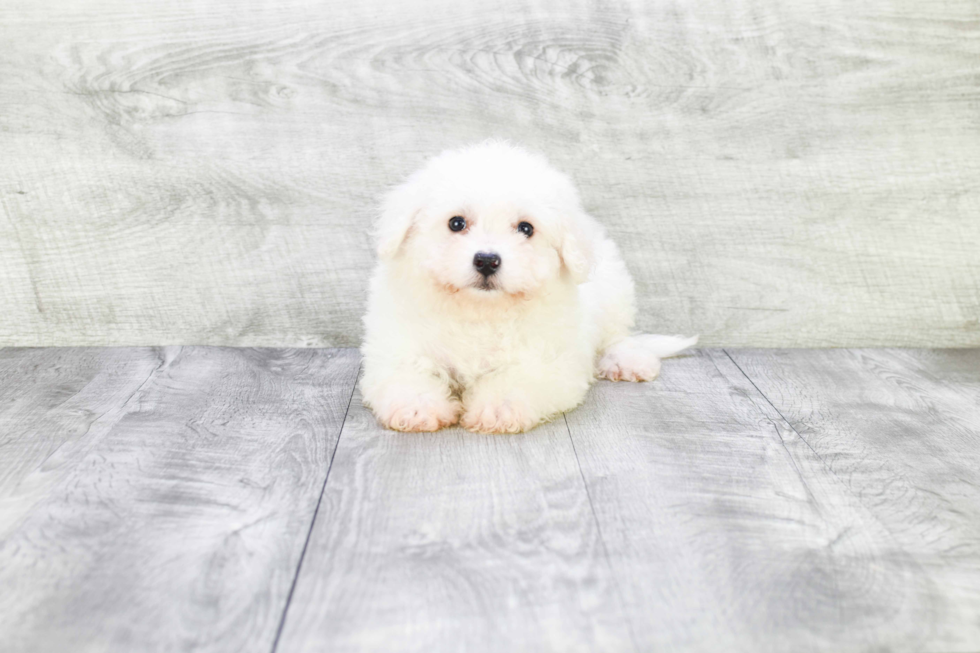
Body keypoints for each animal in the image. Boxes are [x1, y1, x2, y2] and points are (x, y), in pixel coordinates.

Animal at [362, 140, 696, 430]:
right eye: (456, 223)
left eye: (526, 228)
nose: (486, 260)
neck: (479, 311)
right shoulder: (397, 343)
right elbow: (405, 371)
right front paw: (417, 406)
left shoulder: (552, 360)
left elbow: (519, 378)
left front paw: (498, 407)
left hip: (614, 291)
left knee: (616, 336)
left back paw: (627, 361)